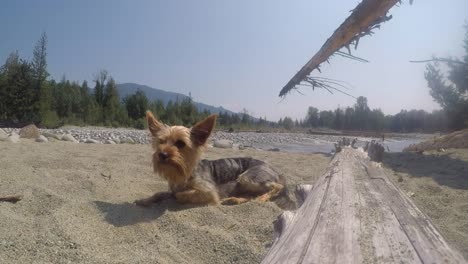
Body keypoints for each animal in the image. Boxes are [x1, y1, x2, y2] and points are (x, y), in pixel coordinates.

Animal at [135, 111, 294, 208]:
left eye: (180, 143)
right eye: (161, 142)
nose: (162, 154)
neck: (184, 172)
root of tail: (276, 171)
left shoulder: (209, 192)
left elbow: (180, 194)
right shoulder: (172, 188)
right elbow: (160, 193)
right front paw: (145, 200)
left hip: (247, 177)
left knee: (276, 187)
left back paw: (261, 198)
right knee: (251, 194)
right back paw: (235, 199)